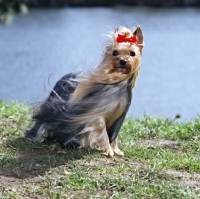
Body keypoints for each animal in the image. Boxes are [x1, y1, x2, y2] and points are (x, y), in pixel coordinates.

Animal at [25, 26, 144, 157]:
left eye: (132, 53)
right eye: (115, 53)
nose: (123, 61)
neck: (118, 82)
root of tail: (64, 77)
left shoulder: (119, 117)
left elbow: (113, 137)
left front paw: (116, 150)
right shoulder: (95, 114)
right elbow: (103, 133)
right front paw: (108, 150)